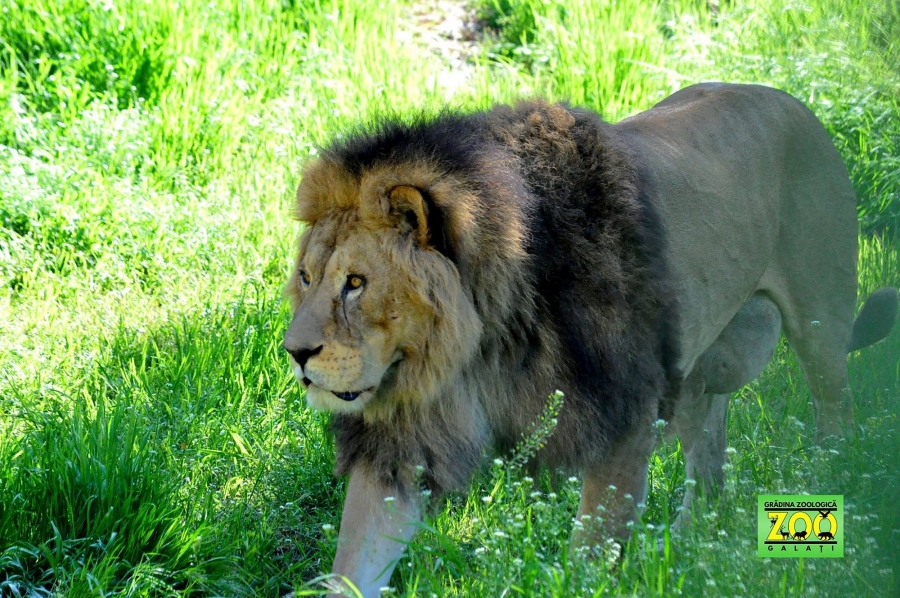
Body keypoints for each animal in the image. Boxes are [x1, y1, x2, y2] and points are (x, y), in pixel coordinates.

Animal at [282, 83, 892, 596]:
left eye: (356, 283)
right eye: (307, 278)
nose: (295, 354)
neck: (482, 343)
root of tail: (794, 102)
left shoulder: (624, 415)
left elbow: (591, 554)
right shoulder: (405, 437)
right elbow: (355, 560)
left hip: (820, 324)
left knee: (836, 412)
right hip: (694, 366)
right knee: (710, 453)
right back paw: (686, 547)